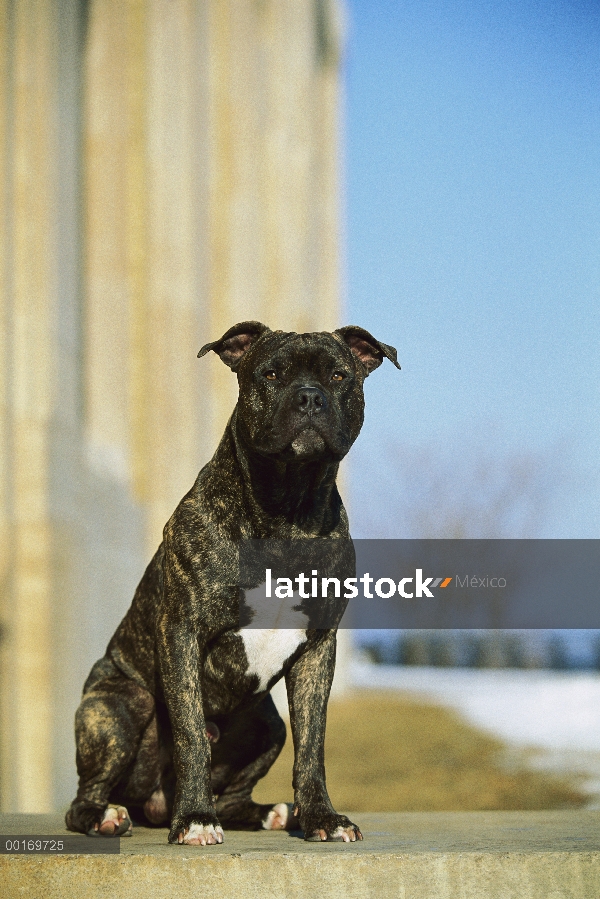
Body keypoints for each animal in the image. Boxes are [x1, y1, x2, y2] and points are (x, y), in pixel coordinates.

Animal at [64, 322, 398, 844]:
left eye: (339, 375)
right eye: (271, 374)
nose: (309, 397)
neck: (286, 510)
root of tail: (150, 805)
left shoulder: (319, 647)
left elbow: (313, 746)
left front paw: (322, 817)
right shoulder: (181, 631)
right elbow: (190, 737)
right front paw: (195, 817)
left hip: (267, 725)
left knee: (239, 793)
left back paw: (274, 813)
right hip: (121, 704)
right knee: (85, 798)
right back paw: (108, 817)